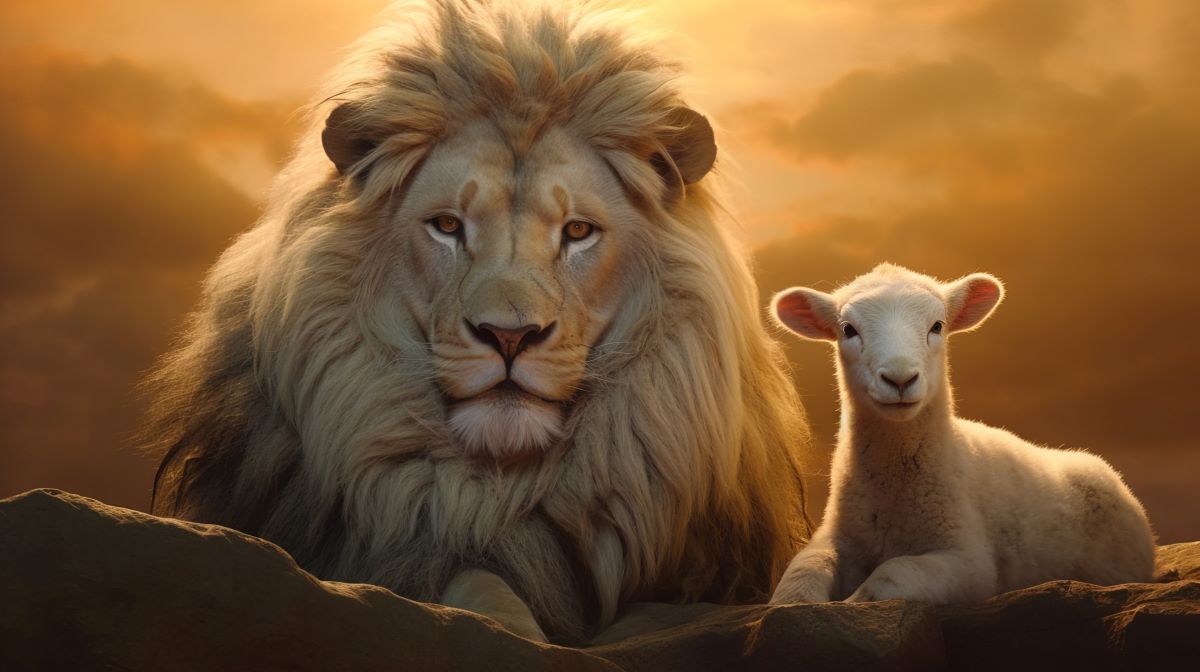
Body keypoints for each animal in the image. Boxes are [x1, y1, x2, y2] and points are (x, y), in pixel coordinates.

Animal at [768, 263, 1156, 605]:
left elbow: (894, 573)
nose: (899, 379)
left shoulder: (968, 559)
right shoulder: (836, 537)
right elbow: (802, 573)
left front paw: (855, 598)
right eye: (848, 329)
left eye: (937, 326)